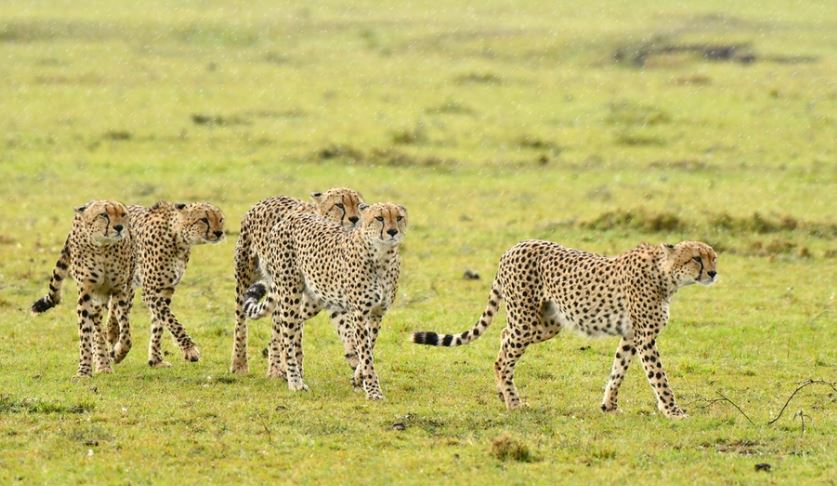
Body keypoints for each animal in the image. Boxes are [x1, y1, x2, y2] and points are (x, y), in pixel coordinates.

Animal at [31, 200, 135, 377]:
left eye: (123, 214)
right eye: (104, 215)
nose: (119, 227)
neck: (103, 248)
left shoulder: (120, 290)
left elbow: (126, 331)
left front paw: (119, 352)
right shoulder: (86, 292)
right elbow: (86, 332)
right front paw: (84, 371)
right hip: (96, 300)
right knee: (97, 329)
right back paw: (102, 363)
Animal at [103, 201, 225, 368]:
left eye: (220, 219)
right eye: (204, 220)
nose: (219, 232)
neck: (178, 240)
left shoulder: (166, 289)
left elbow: (159, 324)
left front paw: (155, 360)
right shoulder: (151, 291)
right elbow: (171, 320)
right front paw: (190, 349)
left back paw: (113, 334)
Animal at [230, 187, 365, 374]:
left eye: (359, 205)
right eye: (339, 205)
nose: (355, 219)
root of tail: (265, 200)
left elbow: (345, 326)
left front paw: (354, 357)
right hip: (246, 275)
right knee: (241, 321)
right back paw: (241, 363)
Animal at [242, 202, 407, 400]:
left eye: (399, 217)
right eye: (379, 218)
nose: (392, 231)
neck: (382, 256)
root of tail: (288, 219)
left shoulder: (377, 314)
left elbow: (368, 349)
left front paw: (358, 380)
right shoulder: (359, 314)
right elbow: (366, 354)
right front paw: (374, 392)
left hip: (313, 300)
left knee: (290, 325)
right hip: (290, 293)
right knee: (286, 335)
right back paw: (295, 381)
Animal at [412, 240, 717, 418]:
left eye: (713, 257)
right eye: (696, 258)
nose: (713, 273)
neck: (666, 275)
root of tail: (512, 247)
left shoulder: (631, 336)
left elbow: (618, 369)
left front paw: (609, 405)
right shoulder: (645, 338)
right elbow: (659, 377)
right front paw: (673, 410)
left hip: (547, 324)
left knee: (503, 338)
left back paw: (502, 393)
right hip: (525, 319)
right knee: (504, 357)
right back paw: (513, 402)